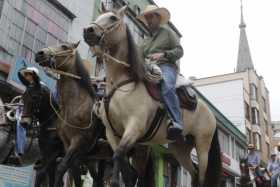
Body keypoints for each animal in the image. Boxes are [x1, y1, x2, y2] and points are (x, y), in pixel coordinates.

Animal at [83, 5, 221, 186]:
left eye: (113, 18)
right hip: (180, 148)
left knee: (202, 176)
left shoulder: (134, 128)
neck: (123, 84)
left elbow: (118, 156)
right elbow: (125, 168)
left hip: (202, 145)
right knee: (194, 174)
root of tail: (210, 114)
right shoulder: (112, 134)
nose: (88, 30)